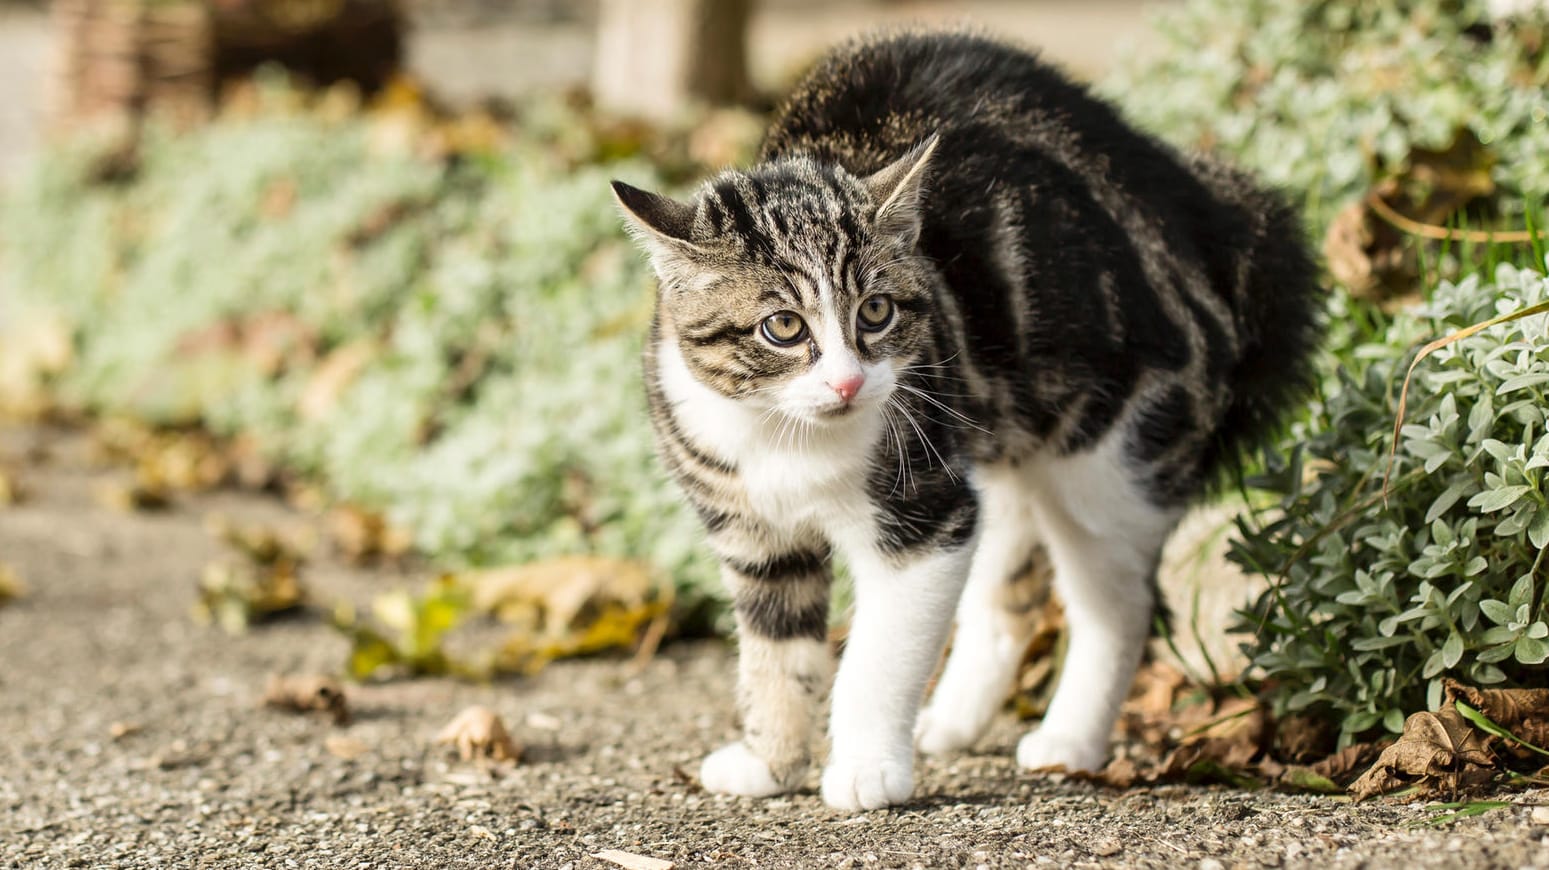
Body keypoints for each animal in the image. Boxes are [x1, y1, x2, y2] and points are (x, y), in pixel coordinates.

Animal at [610, 28, 1313, 811]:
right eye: (783, 327)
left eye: (876, 312)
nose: (849, 381)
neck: (784, 434)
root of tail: (1205, 215)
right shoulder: (753, 531)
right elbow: (778, 649)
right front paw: (770, 761)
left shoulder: (925, 509)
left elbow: (882, 651)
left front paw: (864, 770)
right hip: (999, 432)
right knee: (1008, 586)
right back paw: (952, 719)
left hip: (1109, 456)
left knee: (1117, 602)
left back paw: (1068, 740)